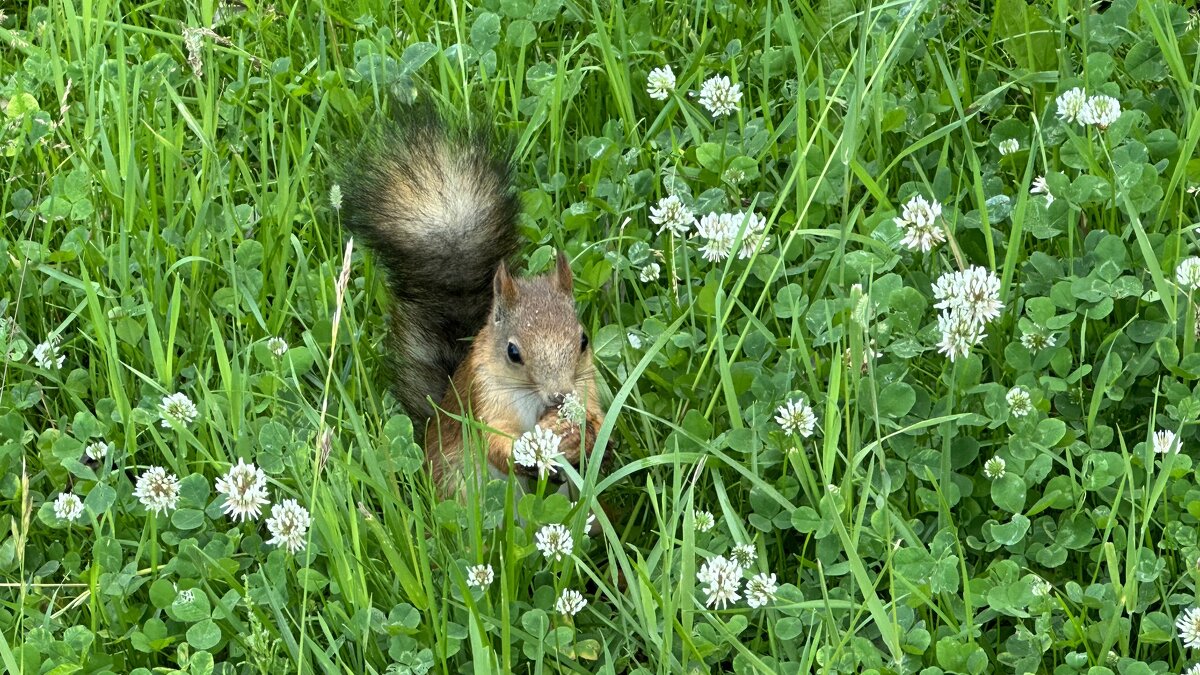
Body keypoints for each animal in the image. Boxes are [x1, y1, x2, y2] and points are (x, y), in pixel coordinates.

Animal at [340, 102, 604, 497]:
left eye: (583, 341)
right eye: (513, 352)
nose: (559, 397)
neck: (533, 402)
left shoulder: (587, 386)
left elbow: (600, 422)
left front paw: (582, 436)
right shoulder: (483, 397)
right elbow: (494, 444)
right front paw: (525, 451)